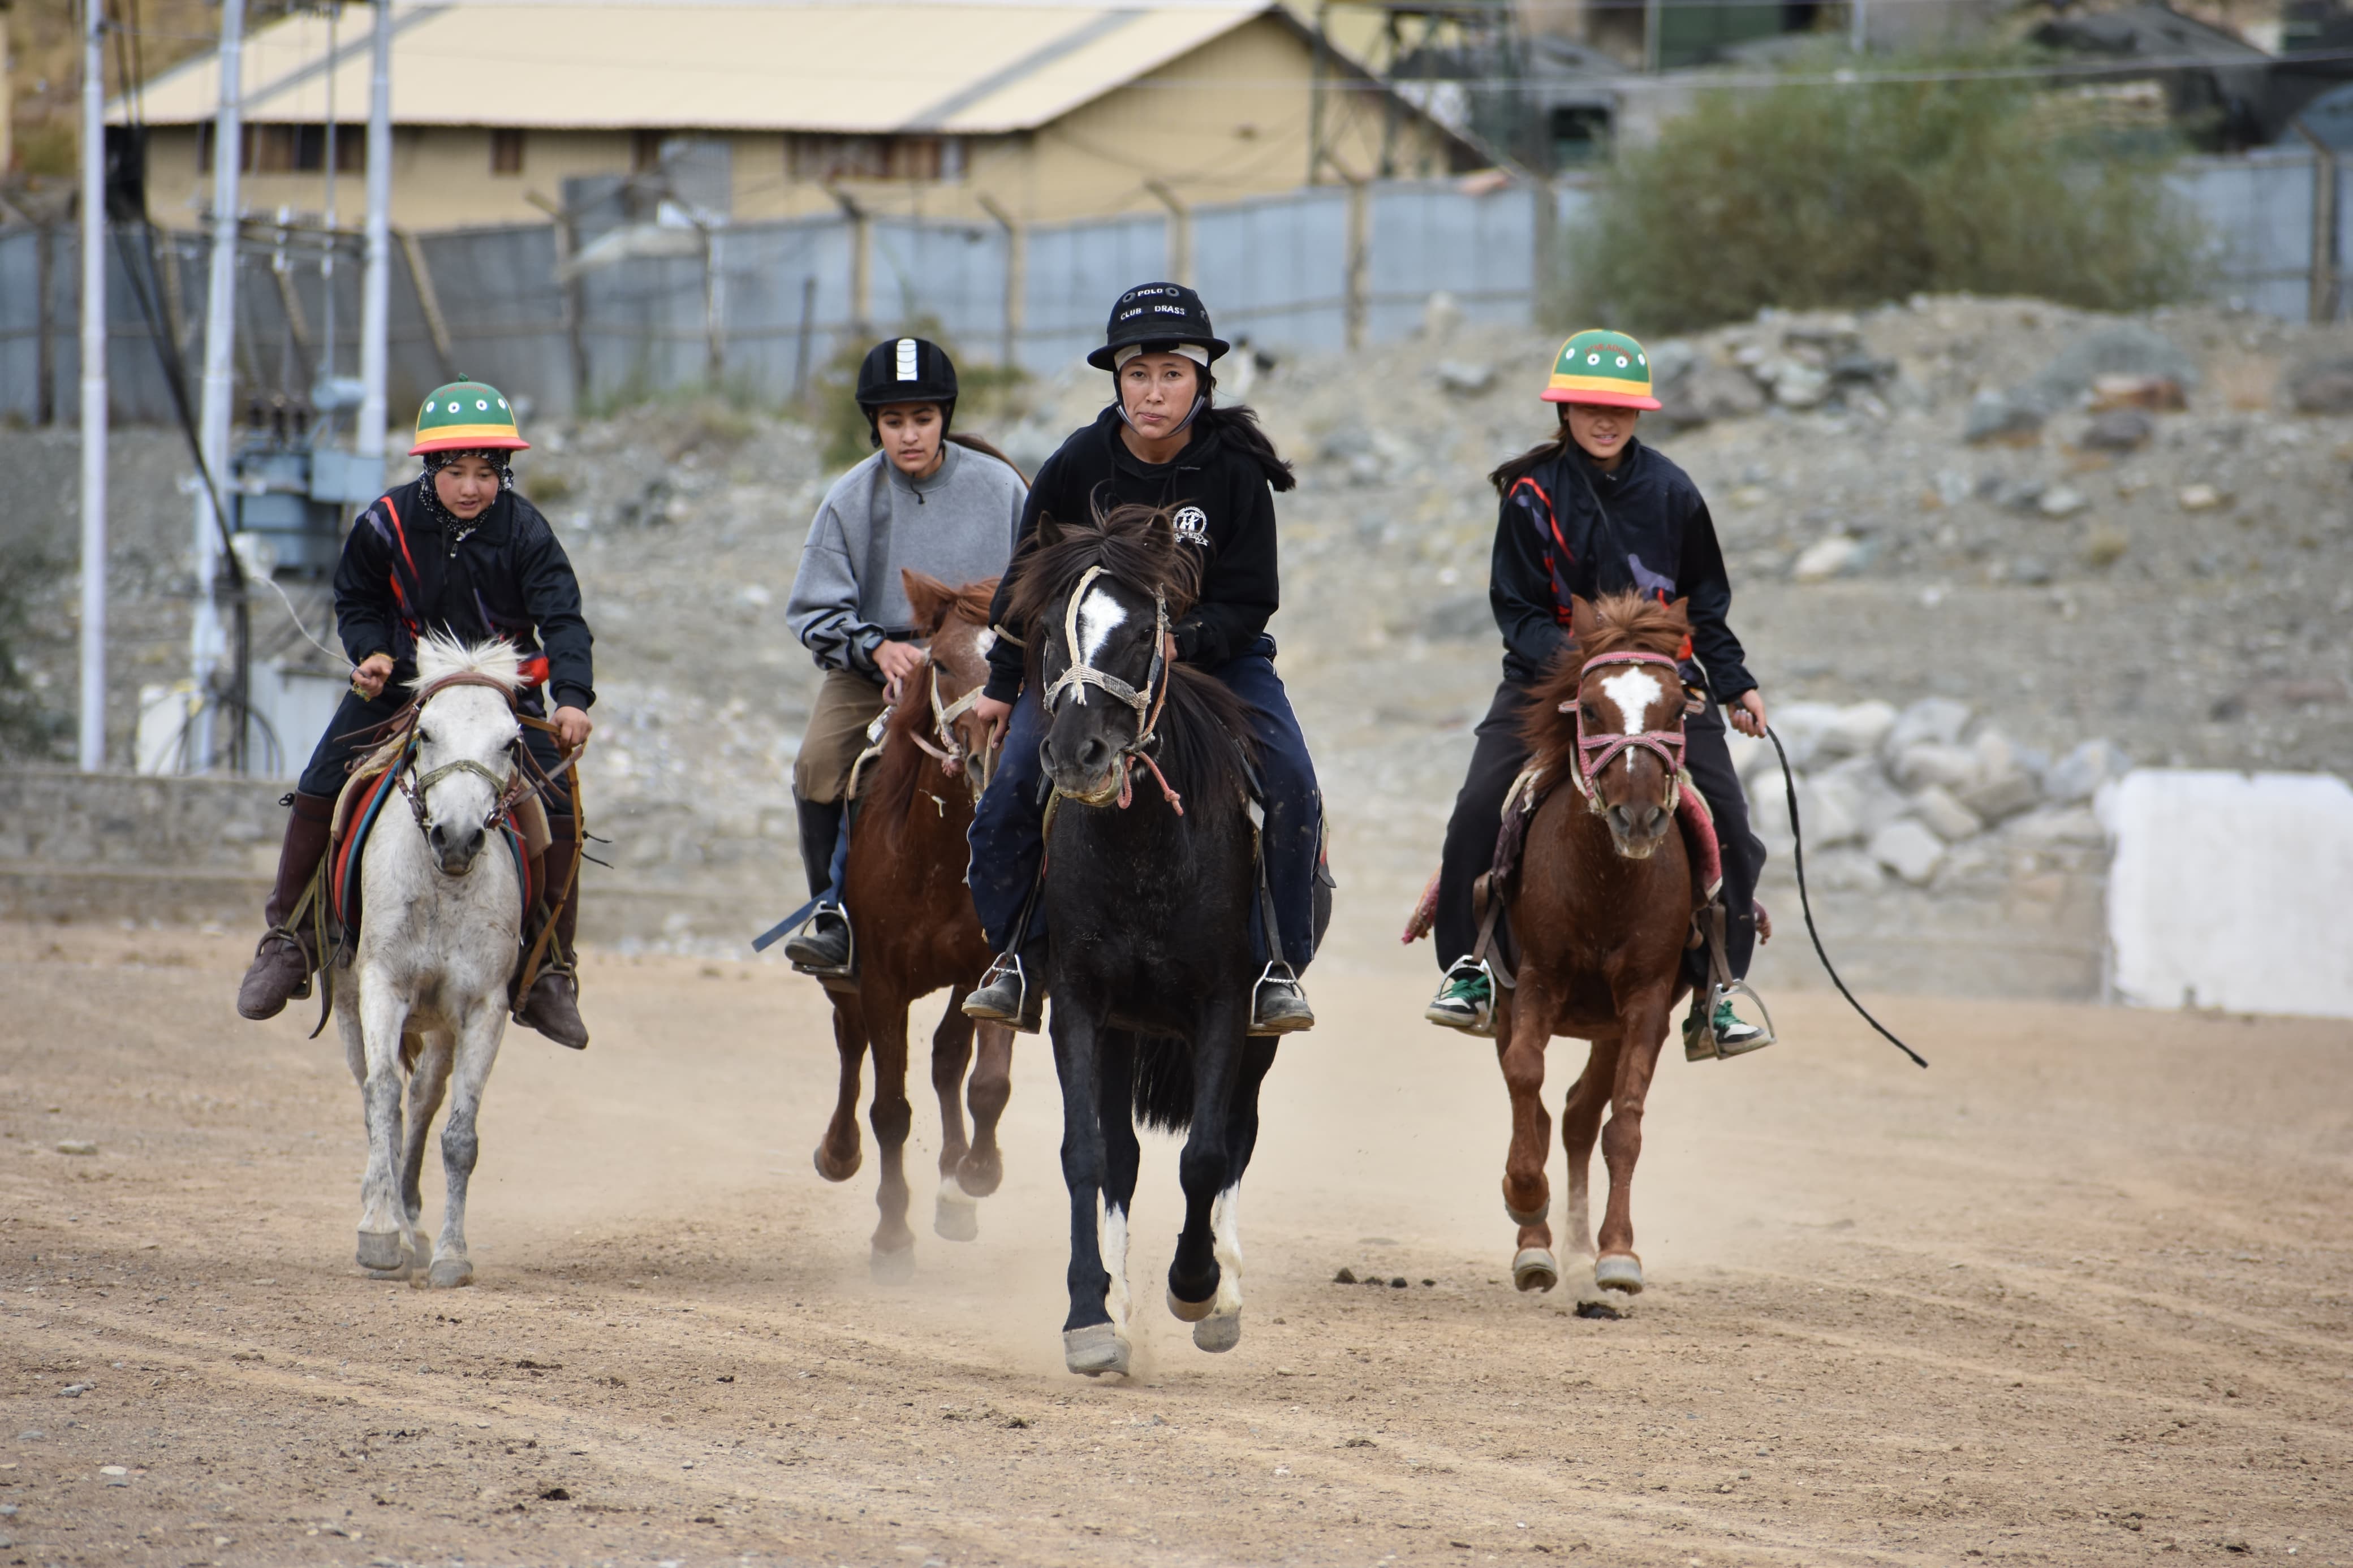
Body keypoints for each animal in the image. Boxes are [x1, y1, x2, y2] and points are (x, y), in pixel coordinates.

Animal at [336, 630, 534, 1297]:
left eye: (510, 741)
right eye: (426, 732)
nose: (457, 836)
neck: (443, 887)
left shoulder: (481, 1009)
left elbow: (459, 1136)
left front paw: (450, 1253)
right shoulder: (381, 986)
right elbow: (380, 1098)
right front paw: (377, 1234)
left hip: (442, 1029)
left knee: (424, 1098)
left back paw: (414, 1220)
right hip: (347, 1003)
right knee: (379, 1096)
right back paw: (389, 1217)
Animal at [809, 571, 1011, 1278]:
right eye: (941, 662)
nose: (987, 753)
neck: (939, 855)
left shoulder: (984, 971)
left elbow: (983, 1080)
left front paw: (974, 1175)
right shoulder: (881, 982)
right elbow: (890, 1108)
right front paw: (892, 1235)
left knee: (947, 1060)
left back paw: (954, 1189)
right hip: (847, 981)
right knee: (850, 1046)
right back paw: (837, 1153)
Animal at [1002, 503, 1280, 1372]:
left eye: (1137, 635)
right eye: (1048, 632)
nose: (1077, 753)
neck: (1145, 850)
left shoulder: (1226, 1005)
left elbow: (1205, 1155)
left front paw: (1195, 1284)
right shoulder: (1081, 1006)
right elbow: (1087, 1154)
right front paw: (1091, 1315)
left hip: (1261, 1034)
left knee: (1237, 1138)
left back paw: (1223, 1294)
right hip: (1127, 1027)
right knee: (1123, 1153)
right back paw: (1120, 1302)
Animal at [1496, 588, 1703, 1297]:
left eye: (1677, 708)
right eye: (1588, 707)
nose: (1636, 817)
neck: (1604, 885)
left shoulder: (1645, 1003)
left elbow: (1625, 1125)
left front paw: (1617, 1253)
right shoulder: (1533, 981)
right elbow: (1524, 1078)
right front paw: (1525, 1200)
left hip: (1607, 1027)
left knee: (1581, 1115)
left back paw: (1580, 1244)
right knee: (1540, 1109)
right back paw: (1536, 1244)